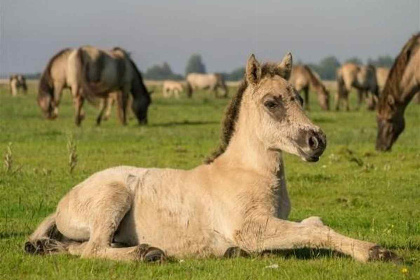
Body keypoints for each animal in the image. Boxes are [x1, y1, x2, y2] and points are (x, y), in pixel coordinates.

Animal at [24, 53, 398, 264]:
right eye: (271, 103)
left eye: (300, 98)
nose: (316, 141)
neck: (246, 173)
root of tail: (64, 202)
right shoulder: (251, 230)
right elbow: (313, 233)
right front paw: (376, 252)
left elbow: (314, 225)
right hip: (113, 198)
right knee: (93, 249)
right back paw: (148, 253)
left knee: (76, 246)